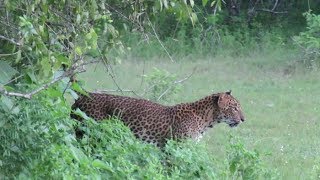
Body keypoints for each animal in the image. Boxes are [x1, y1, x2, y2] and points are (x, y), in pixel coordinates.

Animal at [70, 90, 245, 147]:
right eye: (235, 108)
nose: (244, 119)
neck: (206, 120)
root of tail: (81, 97)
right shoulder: (175, 147)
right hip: (91, 134)